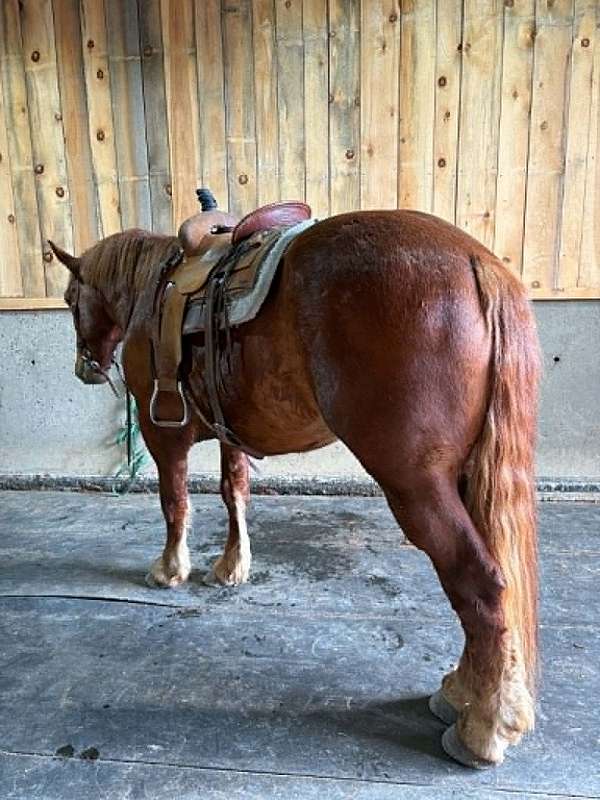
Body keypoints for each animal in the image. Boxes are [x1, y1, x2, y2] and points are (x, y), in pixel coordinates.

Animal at [49, 207, 540, 769]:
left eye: (70, 299)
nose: (85, 367)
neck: (156, 286)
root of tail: (477, 263)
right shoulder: (230, 432)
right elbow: (233, 491)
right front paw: (231, 568)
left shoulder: (163, 434)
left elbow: (174, 502)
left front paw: (170, 570)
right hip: (466, 478)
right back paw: (463, 693)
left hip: (418, 487)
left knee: (479, 584)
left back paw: (482, 730)